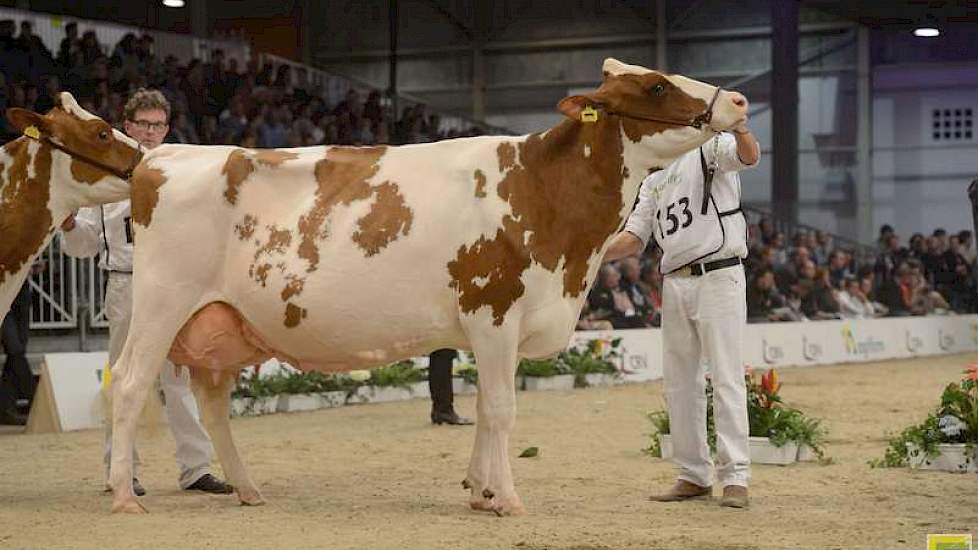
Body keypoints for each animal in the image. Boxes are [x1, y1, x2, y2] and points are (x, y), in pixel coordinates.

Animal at [0, 59, 744, 516]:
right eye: (655, 87)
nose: (736, 100)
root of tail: (163, 157)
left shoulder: (488, 325)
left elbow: (482, 409)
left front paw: (478, 492)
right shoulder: (493, 310)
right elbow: (503, 411)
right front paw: (506, 498)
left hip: (222, 319)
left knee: (211, 403)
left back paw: (246, 488)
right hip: (158, 303)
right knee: (127, 386)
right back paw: (125, 494)